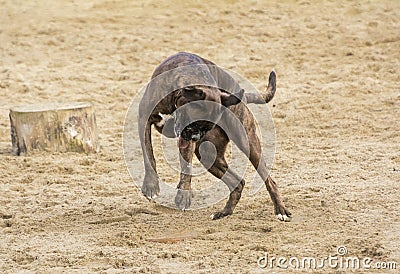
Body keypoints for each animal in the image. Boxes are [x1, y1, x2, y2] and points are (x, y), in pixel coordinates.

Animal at [138, 52, 290, 222]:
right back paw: (224, 212)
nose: (196, 137)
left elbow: (186, 166)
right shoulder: (144, 119)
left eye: (205, 128)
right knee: (238, 183)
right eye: (195, 123)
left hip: (247, 143)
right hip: (209, 155)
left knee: (268, 180)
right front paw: (151, 185)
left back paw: (281, 210)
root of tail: (241, 97)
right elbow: (148, 154)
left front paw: (183, 194)